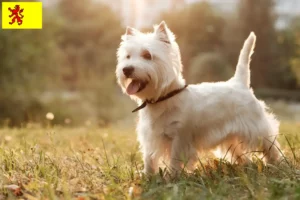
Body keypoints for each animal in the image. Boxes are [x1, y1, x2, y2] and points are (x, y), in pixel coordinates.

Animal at [116, 20, 282, 173]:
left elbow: (175, 159)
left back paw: (277, 164)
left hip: (256, 127)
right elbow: (149, 159)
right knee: (240, 153)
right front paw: (148, 176)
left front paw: (173, 177)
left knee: (270, 145)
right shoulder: (150, 137)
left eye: (147, 55)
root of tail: (239, 82)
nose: (126, 69)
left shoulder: (180, 137)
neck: (163, 97)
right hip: (231, 137)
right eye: (128, 56)